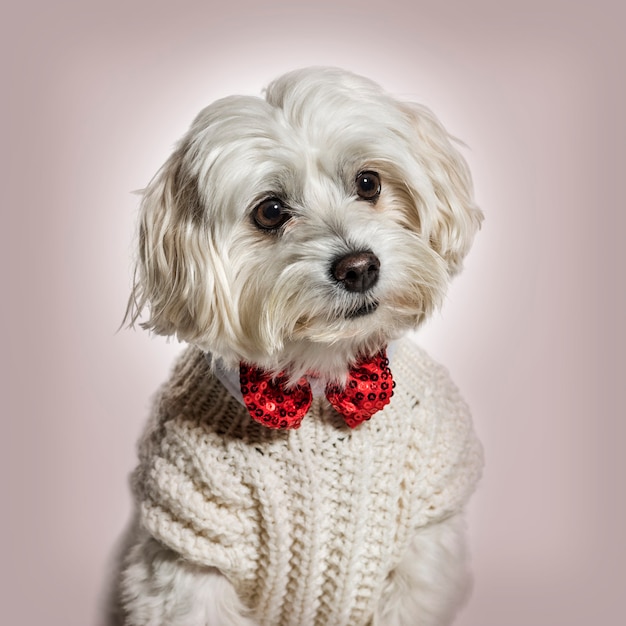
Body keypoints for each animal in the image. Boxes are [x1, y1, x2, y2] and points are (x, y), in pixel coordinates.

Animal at [107, 67, 482, 624]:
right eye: (270, 211)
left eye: (368, 182)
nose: (358, 267)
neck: (322, 380)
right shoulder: (189, 557)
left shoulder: (422, 554)